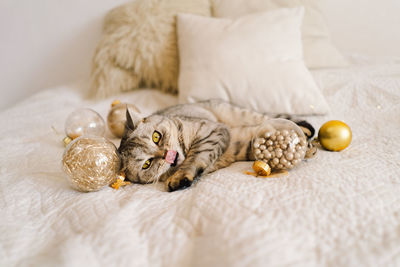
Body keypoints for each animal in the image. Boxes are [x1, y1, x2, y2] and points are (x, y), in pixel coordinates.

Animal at [117, 99, 314, 192]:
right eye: (147, 164)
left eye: (156, 137)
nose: (167, 154)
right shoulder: (238, 143)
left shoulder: (213, 131)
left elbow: (195, 157)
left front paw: (181, 177)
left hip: (240, 113)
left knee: (276, 118)